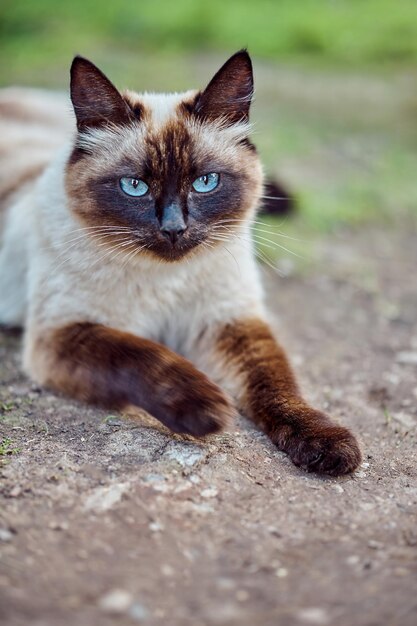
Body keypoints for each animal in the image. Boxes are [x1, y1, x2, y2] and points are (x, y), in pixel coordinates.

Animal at [0, 51, 360, 476]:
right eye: (134, 186)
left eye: (206, 182)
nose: (174, 228)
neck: (167, 279)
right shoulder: (63, 333)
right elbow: (140, 356)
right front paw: (209, 408)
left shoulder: (230, 321)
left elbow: (278, 384)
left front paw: (327, 445)